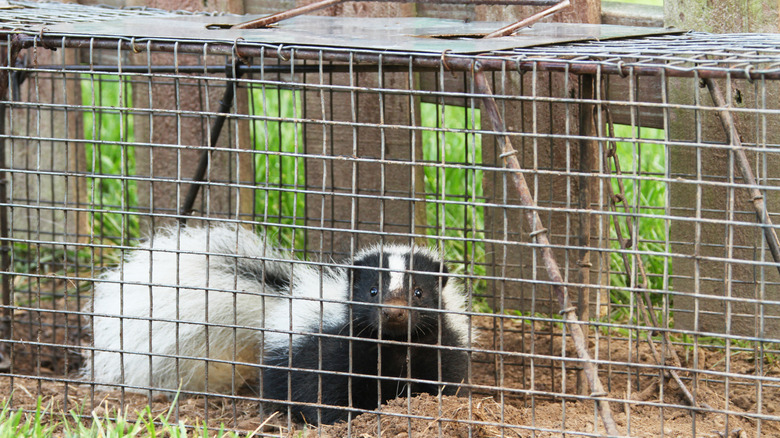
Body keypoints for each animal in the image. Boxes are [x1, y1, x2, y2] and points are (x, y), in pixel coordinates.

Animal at [262, 243, 472, 424]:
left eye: (418, 292)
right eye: (373, 291)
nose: (393, 312)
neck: (395, 343)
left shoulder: (440, 348)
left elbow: (447, 383)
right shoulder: (336, 350)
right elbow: (326, 391)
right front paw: (346, 420)